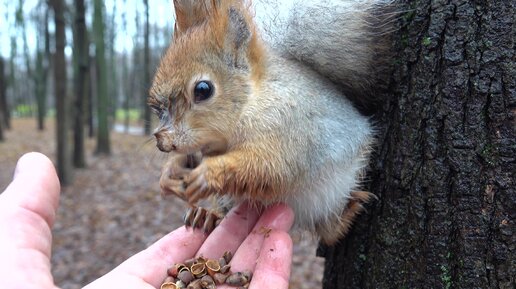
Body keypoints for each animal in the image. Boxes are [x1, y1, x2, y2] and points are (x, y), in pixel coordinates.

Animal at [147, 0, 394, 244]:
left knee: (328, 230)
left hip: (337, 190)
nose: (162, 141)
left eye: (203, 90)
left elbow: (271, 165)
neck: (250, 103)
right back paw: (208, 214)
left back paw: (348, 211)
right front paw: (169, 174)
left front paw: (208, 173)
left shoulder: (291, 124)